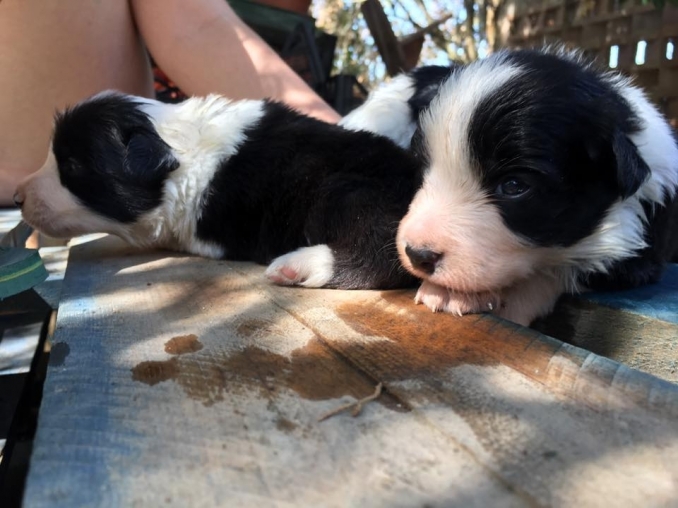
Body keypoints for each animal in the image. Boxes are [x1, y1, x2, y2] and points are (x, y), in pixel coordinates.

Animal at [342, 48, 678, 326]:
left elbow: (560, 266)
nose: (417, 254)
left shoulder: (642, 248)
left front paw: (461, 294)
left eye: (514, 186)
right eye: (423, 169)